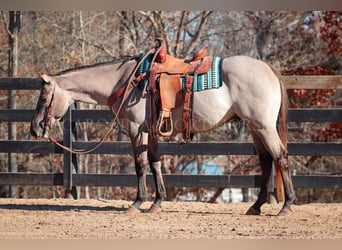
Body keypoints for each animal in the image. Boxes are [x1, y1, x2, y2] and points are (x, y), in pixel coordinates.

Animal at [30, 52, 296, 215]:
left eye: (43, 98)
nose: (35, 128)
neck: (125, 81)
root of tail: (267, 67)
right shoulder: (152, 132)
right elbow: (155, 163)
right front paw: (157, 202)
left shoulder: (136, 130)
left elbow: (140, 164)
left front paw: (137, 203)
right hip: (255, 127)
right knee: (266, 161)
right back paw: (256, 206)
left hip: (263, 126)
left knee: (280, 157)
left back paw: (286, 205)